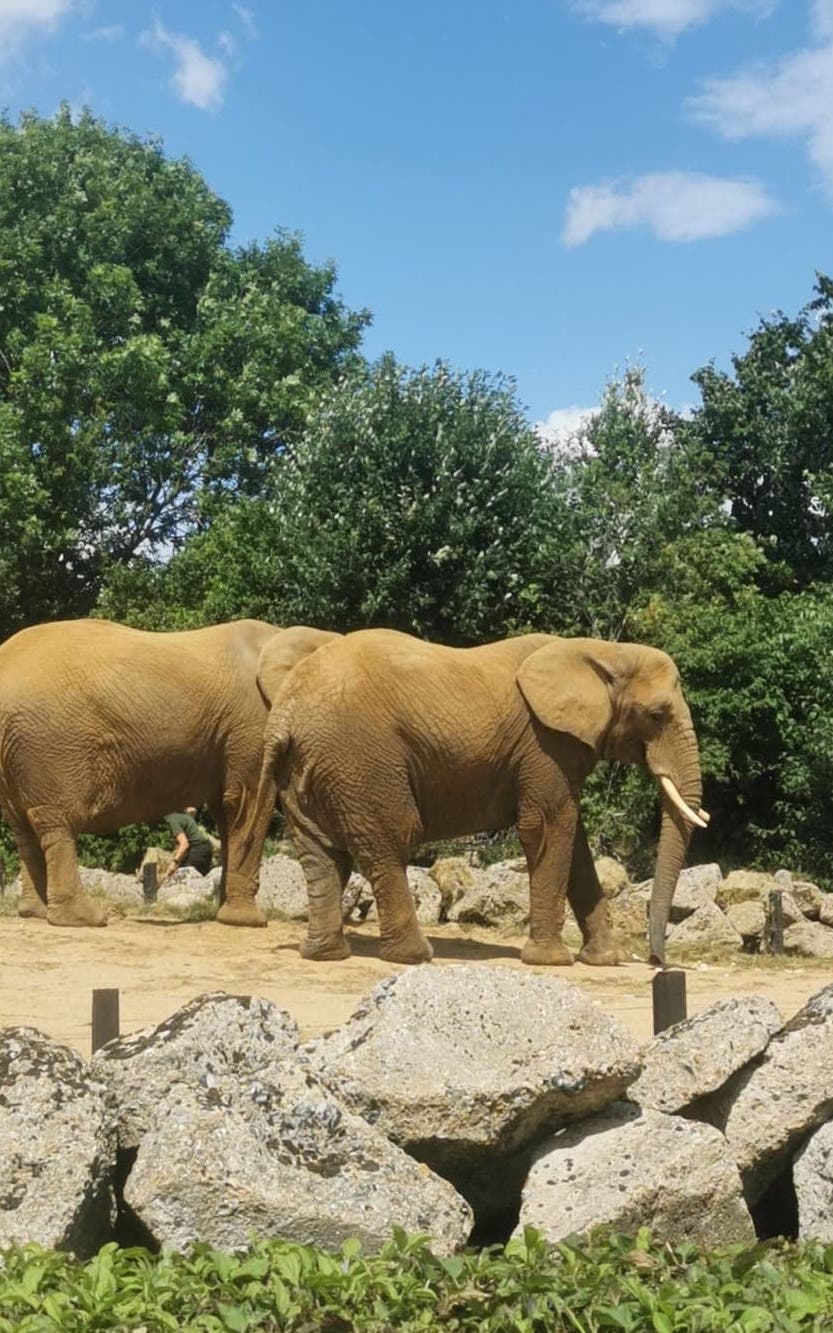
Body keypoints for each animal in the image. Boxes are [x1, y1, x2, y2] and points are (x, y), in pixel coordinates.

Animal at [0, 618, 337, 927]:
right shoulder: (251, 725)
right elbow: (247, 803)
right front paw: (247, 922)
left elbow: (227, 811)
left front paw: (224, 914)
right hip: (49, 746)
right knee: (56, 824)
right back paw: (85, 919)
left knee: (23, 827)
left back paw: (34, 913)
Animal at [246, 628, 708, 967]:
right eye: (656, 715)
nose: (657, 962)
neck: (603, 651)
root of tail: (283, 715)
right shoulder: (544, 744)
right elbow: (549, 828)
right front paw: (551, 962)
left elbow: (574, 841)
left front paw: (605, 960)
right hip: (359, 760)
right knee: (389, 842)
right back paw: (414, 957)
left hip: (308, 767)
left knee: (320, 853)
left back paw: (323, 954)